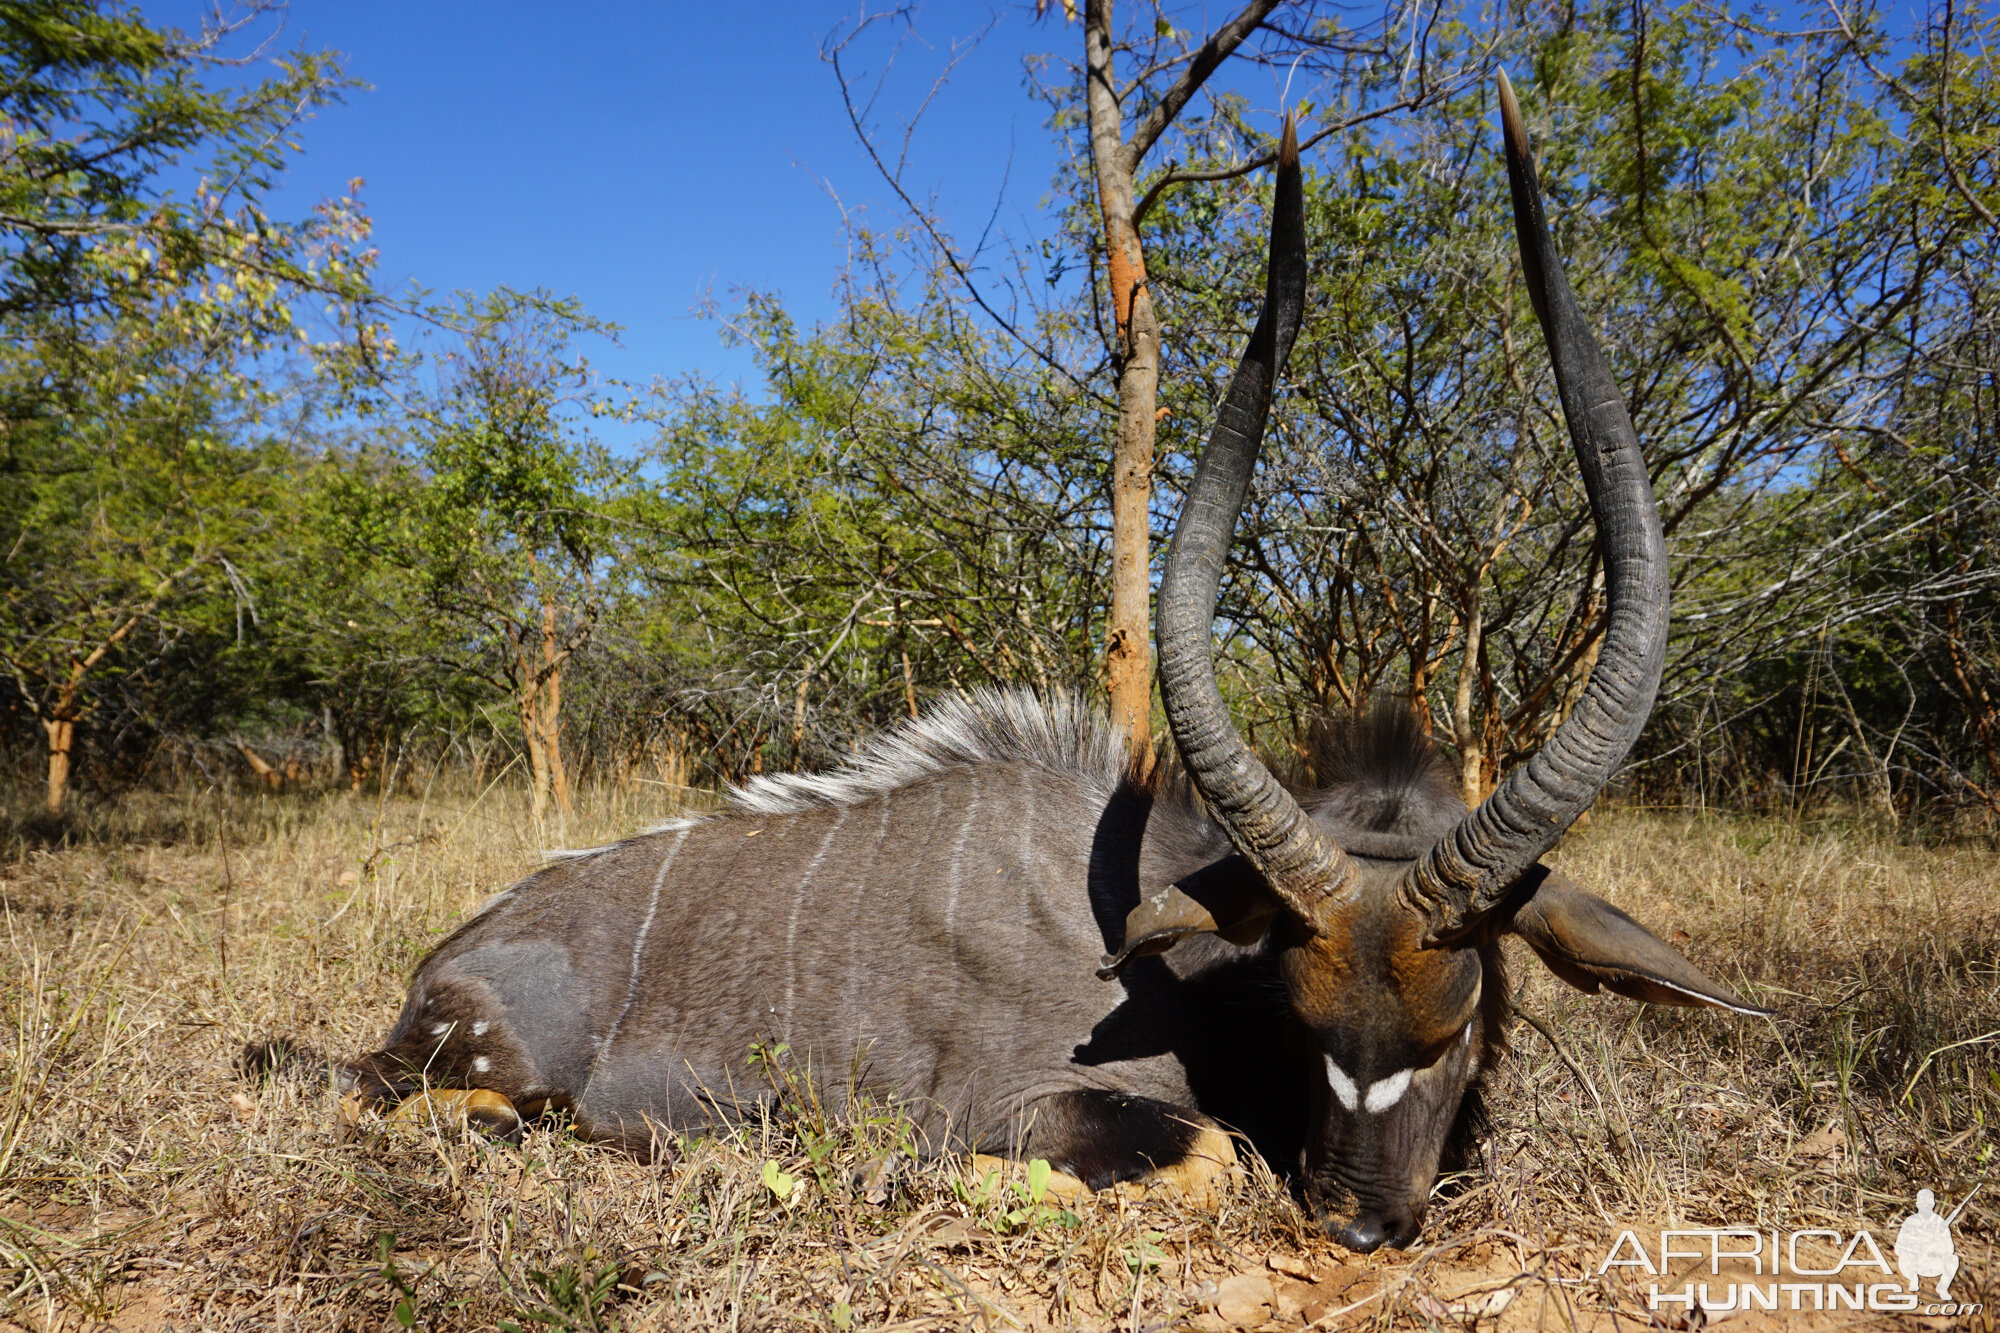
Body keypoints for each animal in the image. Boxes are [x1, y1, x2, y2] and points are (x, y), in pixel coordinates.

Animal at [250, 78, 1768, 1248]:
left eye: (1460, 1017)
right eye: (1303, 1006)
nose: (1356, 1224)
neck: (1182, 959)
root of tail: (448, 961)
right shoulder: (1041, 1103)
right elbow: (1199, 1159)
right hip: (473, 1079)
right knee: (427, 1107)